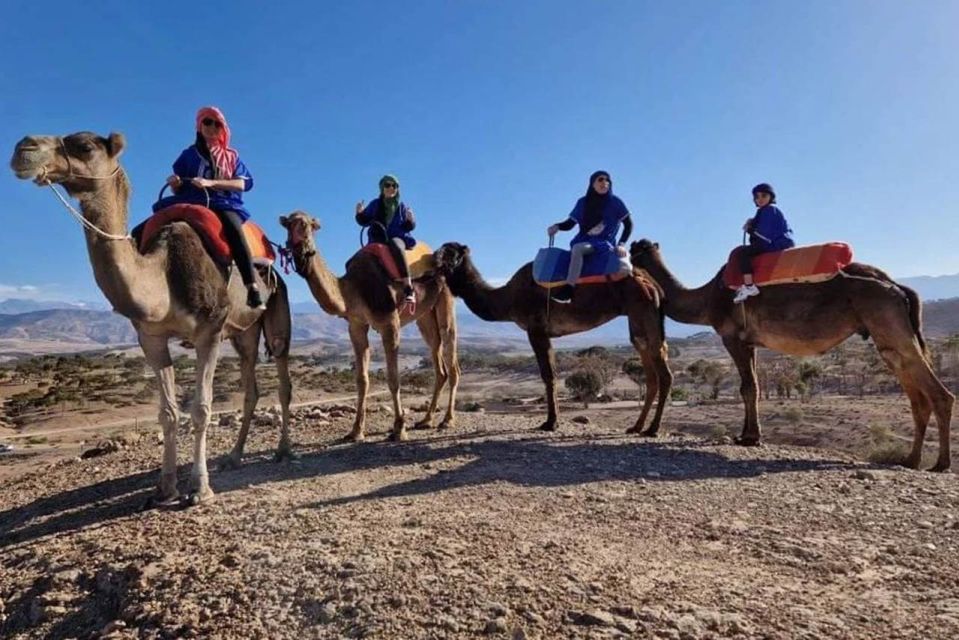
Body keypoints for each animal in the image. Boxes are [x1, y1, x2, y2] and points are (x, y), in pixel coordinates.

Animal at [10, 132, 296, 504]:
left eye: (85, 146)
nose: (23, 148)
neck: (163, 277)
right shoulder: (150, 337)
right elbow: (168, 413)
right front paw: (164, 488)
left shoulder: (209, 331)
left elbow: (201, 409)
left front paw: (199, 489)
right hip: (243, 332)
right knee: (251, 385)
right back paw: (233, 457)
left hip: (276, 307)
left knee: (282, 377)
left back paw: (284, 451)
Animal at [280, 210, 460, 440]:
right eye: (287, 225)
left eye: (306, 225)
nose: (296, 248)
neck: (354, 288)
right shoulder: (356, 325)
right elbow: (362, 380)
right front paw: (356, 430)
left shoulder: (390, 324)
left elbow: (393, 378)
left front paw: (399, 429)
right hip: (425, 315)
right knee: (437, 357)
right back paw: (426, 420)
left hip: (446, 299)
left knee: (450, 353)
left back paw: (447, 420)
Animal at [436, 242, 676, 432]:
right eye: (442, 249)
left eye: (451, 252)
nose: (435, 259)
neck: (507, 297)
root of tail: (654, 284)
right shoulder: (545, 333)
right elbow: (551, 373)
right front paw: (553, 421)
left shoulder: (536, 329)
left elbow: (548, 375)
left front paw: (550, 423)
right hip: (638, 319)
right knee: (648, 363)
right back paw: (637, 426)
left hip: (643, 309)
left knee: (663, 373)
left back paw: (652, 429)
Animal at [632, 239, 956, 470]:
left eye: (637, 249)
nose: (629, 261)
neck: (707, 296)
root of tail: (897, 286)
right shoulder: (750, 343)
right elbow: (754, 387)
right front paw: (748, 435)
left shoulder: (732, 337)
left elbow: (747, 387)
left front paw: (749, 438)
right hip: (887, 331)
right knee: (913, 390)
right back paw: (911, 460)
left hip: (887, 320)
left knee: (937, 393)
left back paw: (940, 464)